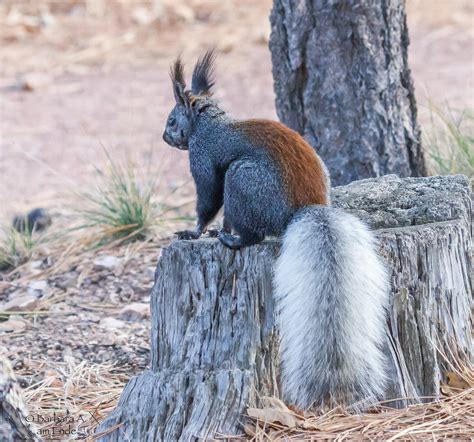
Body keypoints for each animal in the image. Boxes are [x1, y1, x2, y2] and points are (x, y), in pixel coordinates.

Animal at [163, 50, 388, 410]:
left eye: (172, 120)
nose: (165, 137)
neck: (211, 124)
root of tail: (302, 212)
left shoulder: (203, 159)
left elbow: (208, 200)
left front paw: (194, 232)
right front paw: (208, 232)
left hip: (241, 179)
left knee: (251, 231)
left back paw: (234, 240)